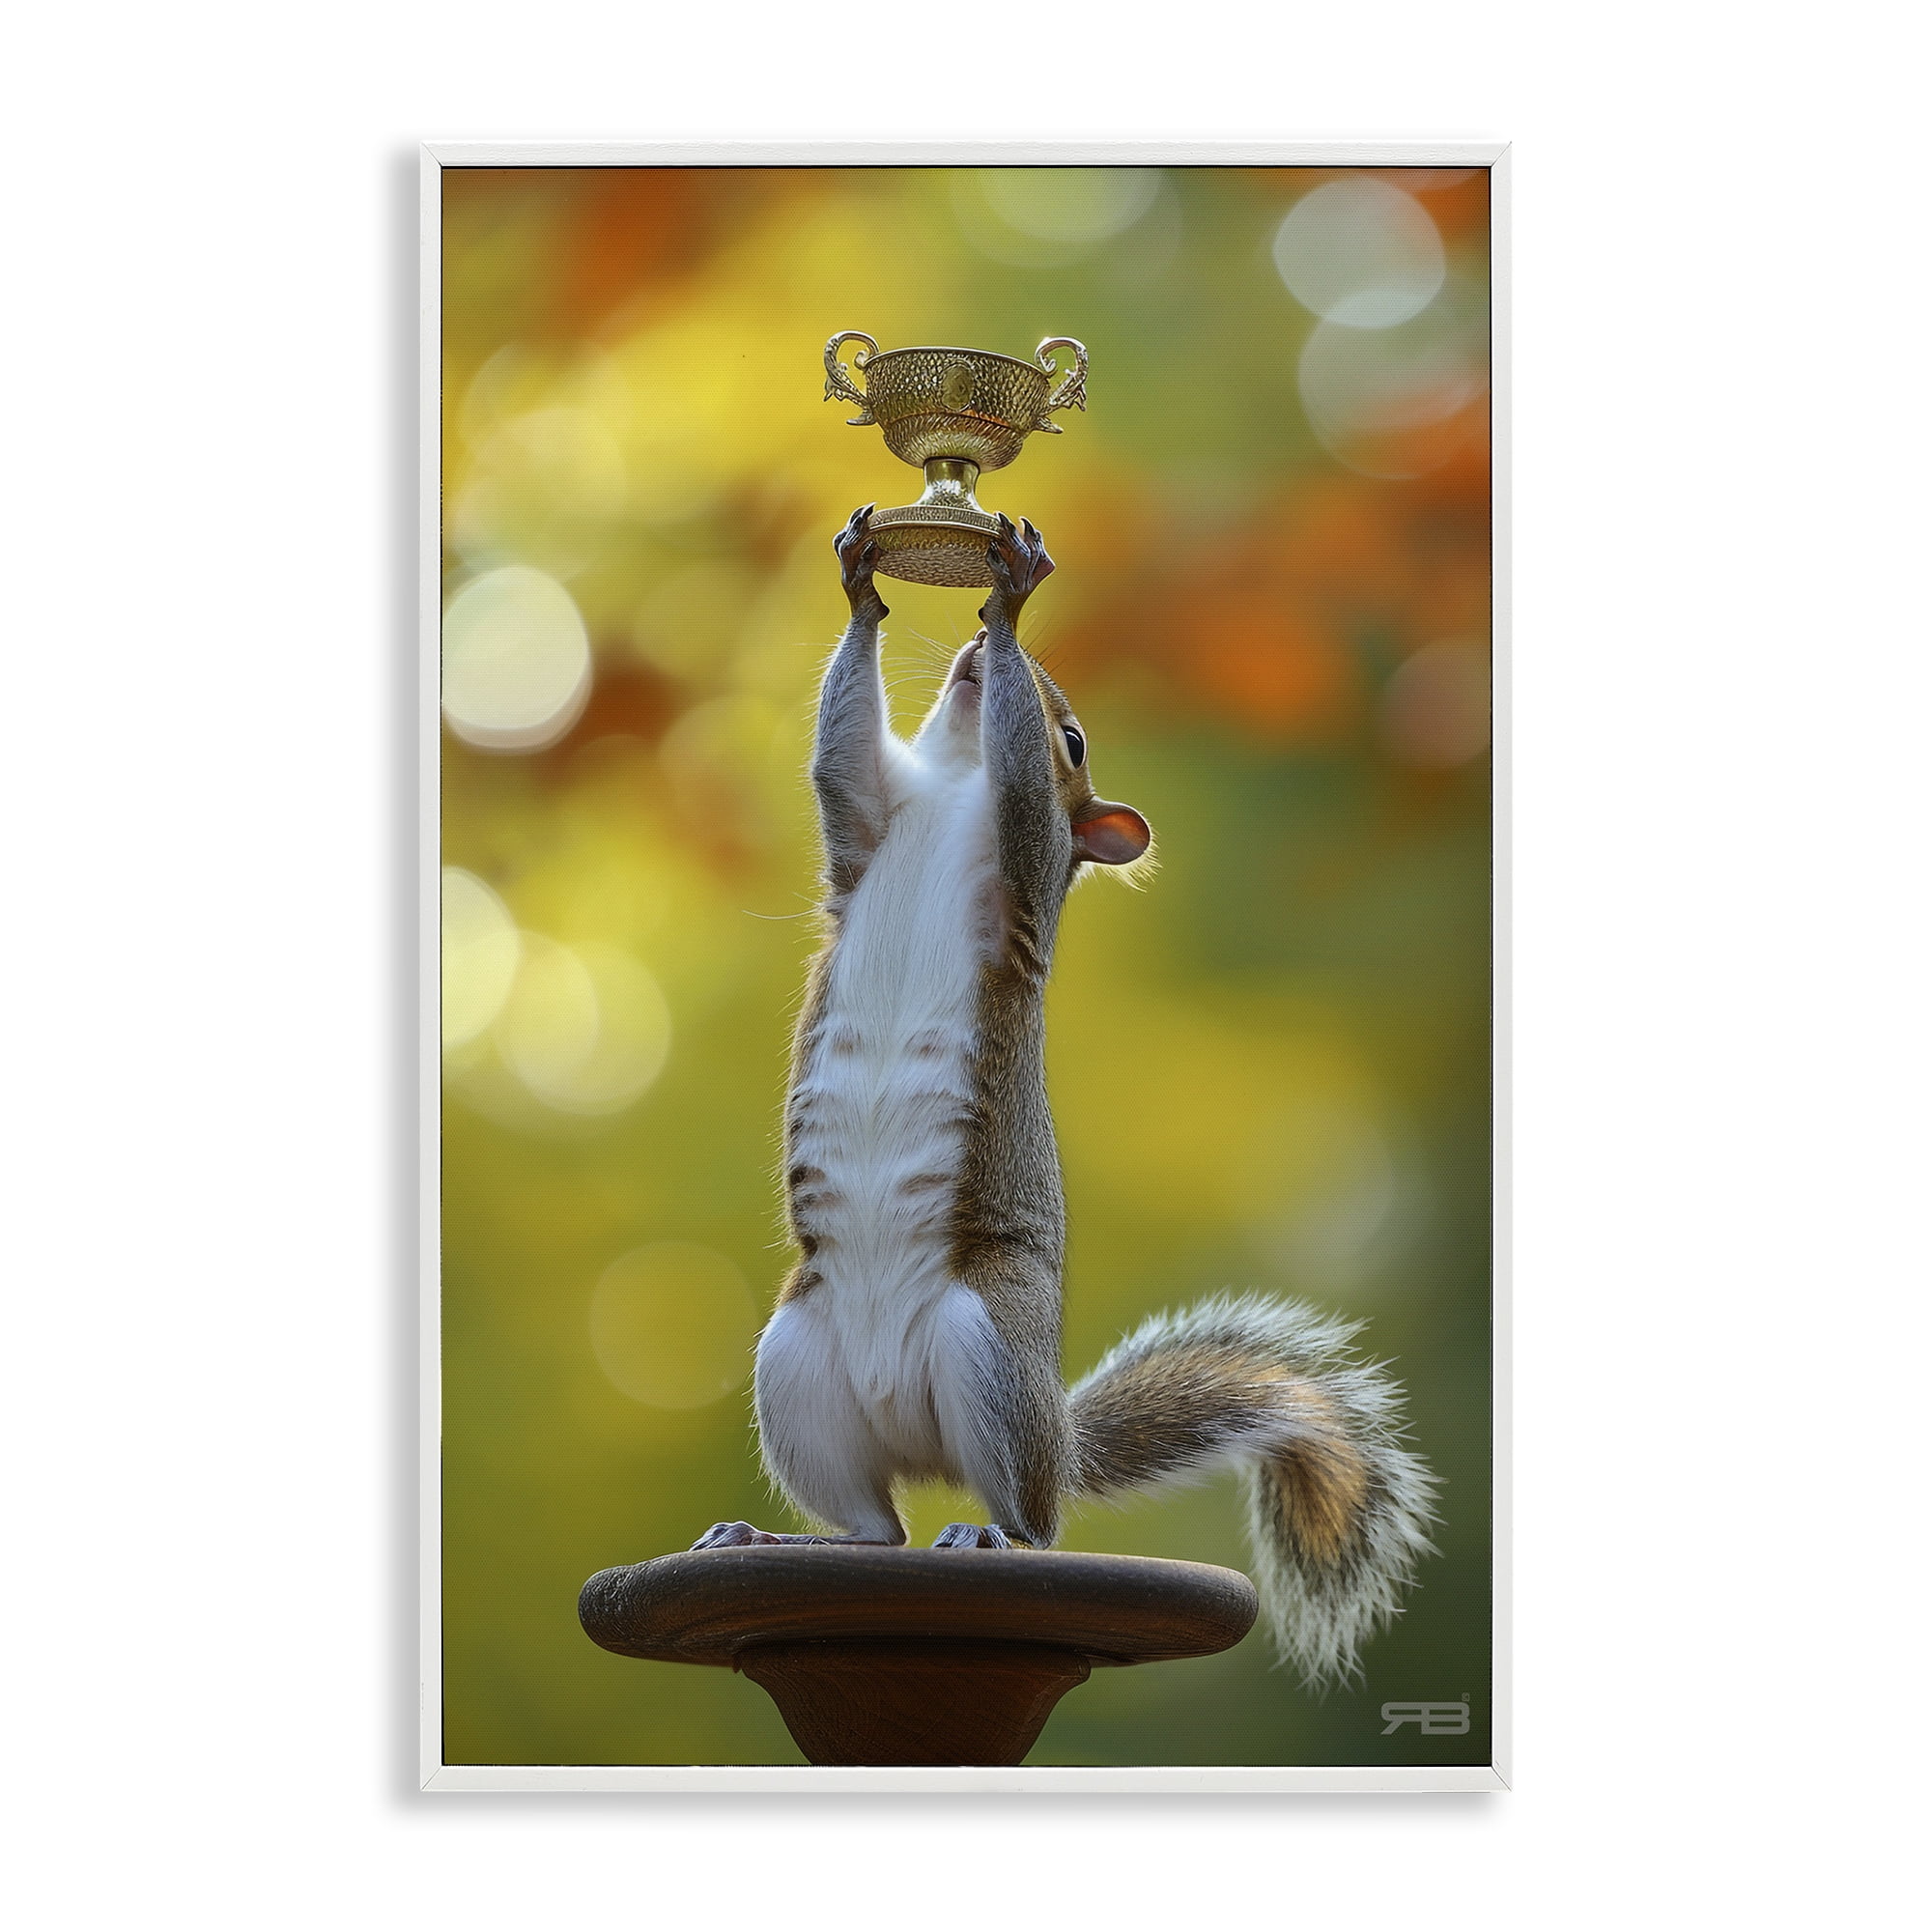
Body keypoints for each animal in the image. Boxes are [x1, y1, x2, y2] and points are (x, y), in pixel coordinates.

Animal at [693, 507, 1437, 1687]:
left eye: (1077, 741)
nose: (971, 655)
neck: (949, 788)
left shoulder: (1025, 857)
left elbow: (1018, 795)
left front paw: (1009, 602)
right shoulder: (866, 824)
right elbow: (838, 755)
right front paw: (865, 586)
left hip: (987, 1345)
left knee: (1025, 1526)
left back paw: (989, 1535)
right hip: (796, 1368)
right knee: (876, 1531)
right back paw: (782, 1538)